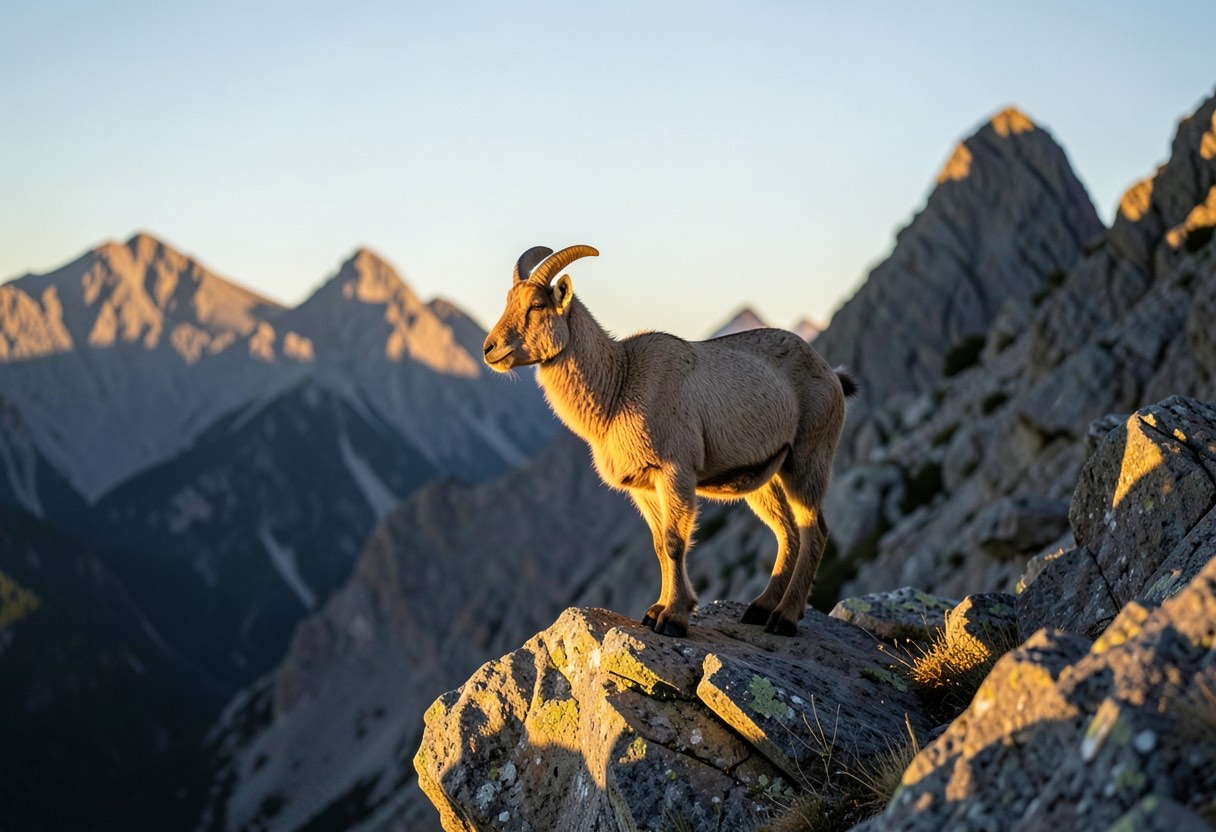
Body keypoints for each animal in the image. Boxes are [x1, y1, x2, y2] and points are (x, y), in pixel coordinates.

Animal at [483, 245, 857, 637]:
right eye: (508, 300)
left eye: (537, 305)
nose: (490, 349)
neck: (619, 386)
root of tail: (832, 375)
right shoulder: (644, 487)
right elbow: (660, 545)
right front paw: (656, 611)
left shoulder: (675, 471)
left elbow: (676, 542)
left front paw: (674, 618)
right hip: (764, 476)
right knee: (788, 531)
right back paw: (759, 609)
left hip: (808, 458)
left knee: (814, 530)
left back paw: (783, 618)